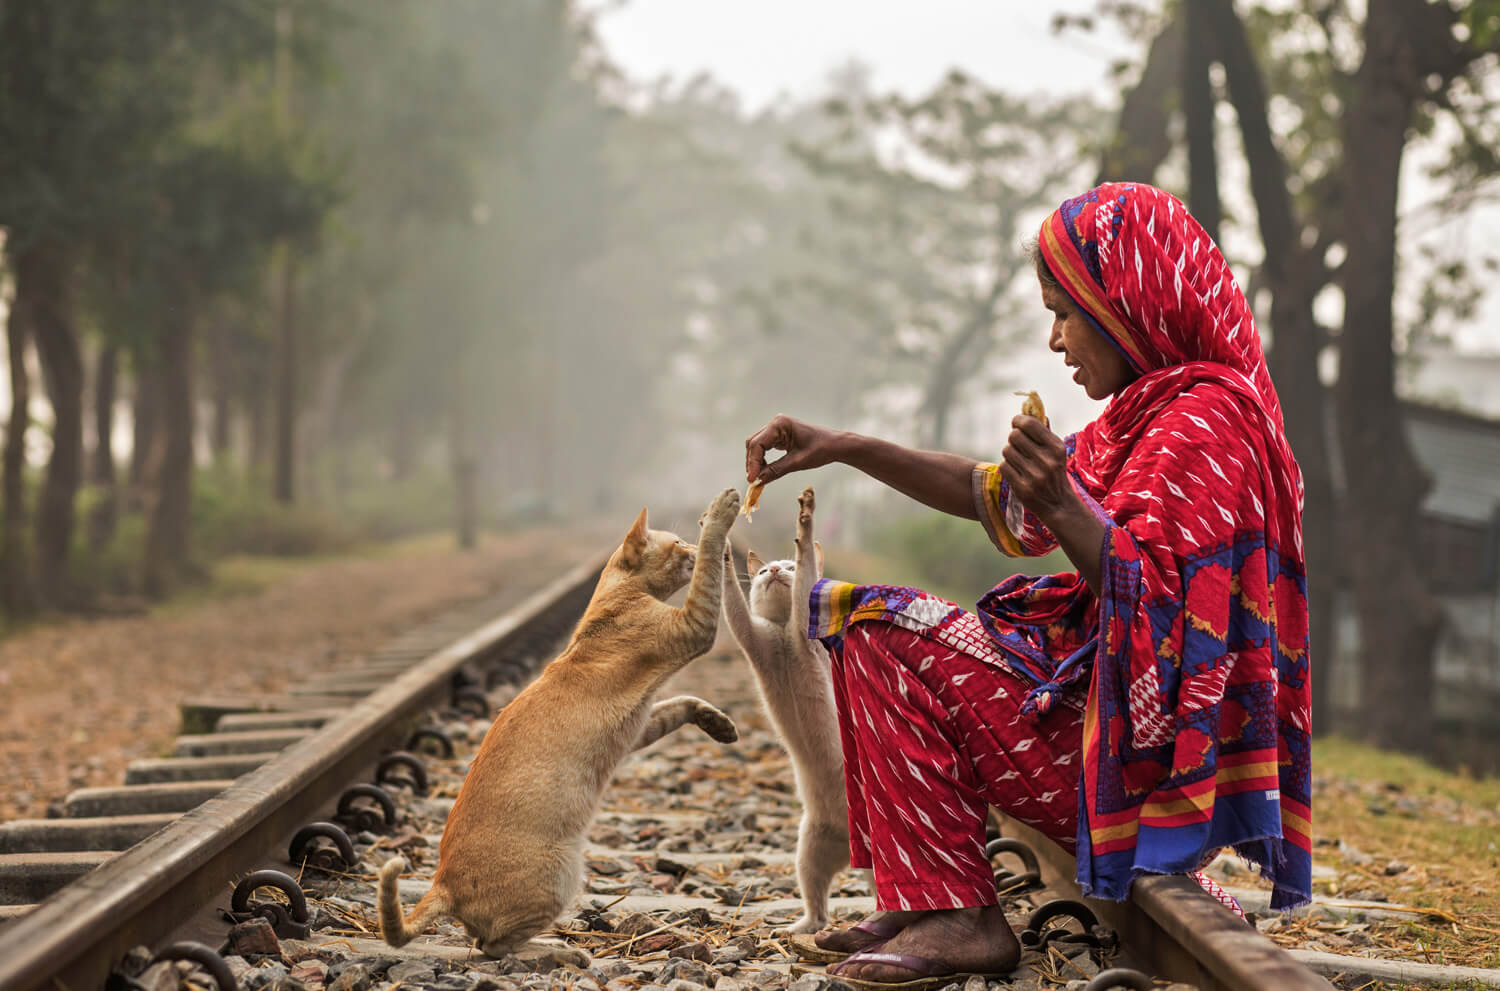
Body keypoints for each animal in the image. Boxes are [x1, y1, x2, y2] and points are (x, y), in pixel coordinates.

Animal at [378, 485, 741, 959]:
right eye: (679, 541)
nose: (691, 547)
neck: (612, 603)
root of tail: (442, 883)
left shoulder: (640, 726)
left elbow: (682, 703)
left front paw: (719, 724)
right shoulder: (693, 626)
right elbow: (708, 578)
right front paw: (721, 515)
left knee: (483, 939)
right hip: (559, 874)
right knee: (495, 946)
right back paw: (559, 949)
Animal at [720, 485, 852, 935]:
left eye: (788, 566)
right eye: (762, 571)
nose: (775, 569)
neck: (781, 632)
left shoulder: (806, 626)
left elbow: (809, 574)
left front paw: (805, 518)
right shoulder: (753, 640)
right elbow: (735, 610)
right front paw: (721, 544)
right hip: (808, 847)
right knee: (818, 900)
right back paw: (799, 927)